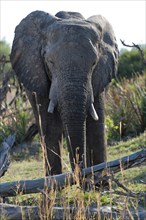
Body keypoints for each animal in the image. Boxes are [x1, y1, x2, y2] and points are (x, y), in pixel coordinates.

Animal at [10, 10, 118, 176]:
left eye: (94, 63)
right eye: (50, 62)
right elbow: (51, 127)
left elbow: (96, 126)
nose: (80, 177)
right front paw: (55, 183)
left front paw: (99, 181)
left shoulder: (99, 76)